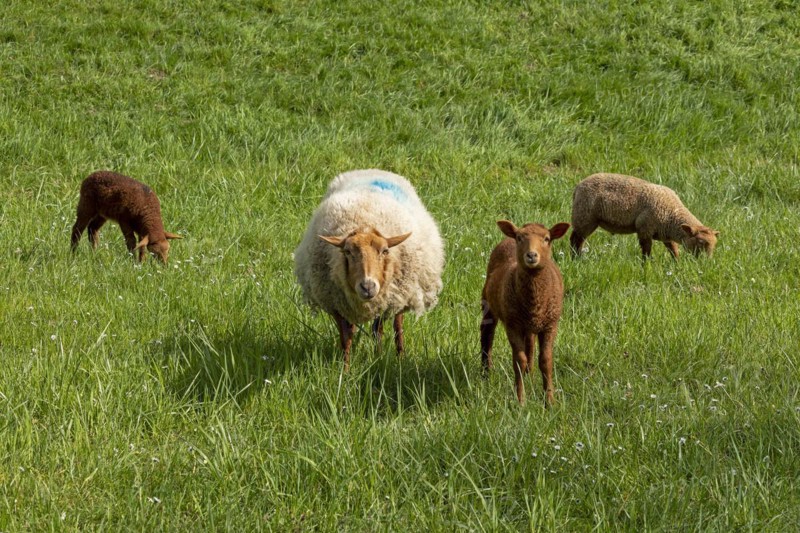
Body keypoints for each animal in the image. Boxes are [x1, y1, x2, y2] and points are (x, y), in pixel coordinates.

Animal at [294, 169, 444, 369]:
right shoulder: (336, 303)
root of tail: (373, 170)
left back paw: (397, 356)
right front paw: (345, 369)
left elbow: (380, 330)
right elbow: (346, 337)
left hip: (401, 294)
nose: (367, 286)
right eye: (347, 252)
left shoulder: (387, 299)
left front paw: (379, 359)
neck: (364, 222)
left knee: (395, 327)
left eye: (385, 251)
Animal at [480, 220, 570, 405]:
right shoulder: (512, 325)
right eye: (520, 238)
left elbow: (546, 361)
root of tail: (506, 239)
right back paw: (486, 372)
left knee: (530, 342)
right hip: (489, 304)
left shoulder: (550, 325)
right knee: (487, 336)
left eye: (547, 238)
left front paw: (549, 401)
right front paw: (521, 401)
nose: (531, 256)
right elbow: (518, 361)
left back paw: (530, 373)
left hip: (530, 323)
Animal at [570, 173, 719, 260]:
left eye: (714, 244)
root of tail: (578, 186)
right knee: (575, 239)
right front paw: (646, 266)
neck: (672, 213)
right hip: (585, 217)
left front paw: (676, 263)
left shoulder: (665, 235)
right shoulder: (645, 229)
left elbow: (673, 250)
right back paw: (576, 259)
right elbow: (646, 250)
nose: (706, 262)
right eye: (701, 242)